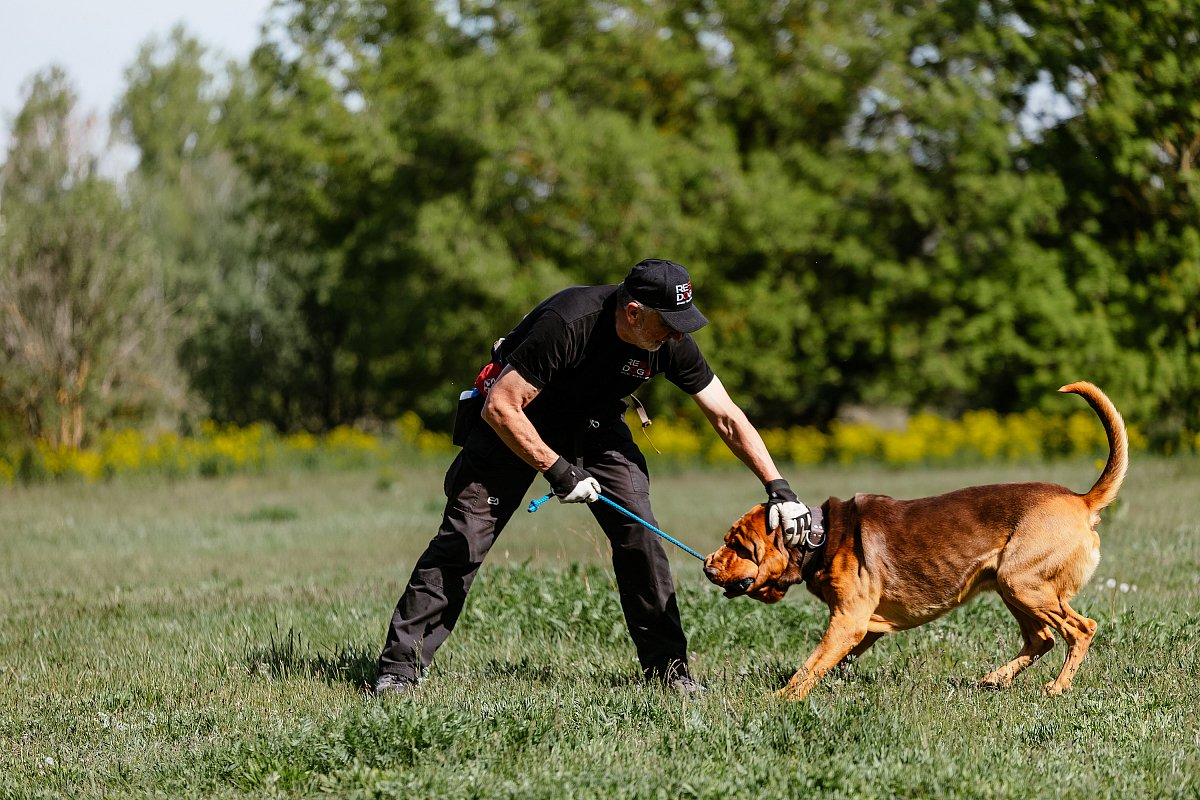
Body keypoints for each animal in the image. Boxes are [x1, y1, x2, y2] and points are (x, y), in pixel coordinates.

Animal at [700, 381, 1123, 700]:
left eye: (739, 546)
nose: (706, 566)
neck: (819, 538)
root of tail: (1082, 500)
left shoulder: (848, 622)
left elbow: (810, 665)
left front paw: (779, 699)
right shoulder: (863, 628)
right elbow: (830, 662)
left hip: (1021, 583)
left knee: (1081, 629)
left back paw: (1057, 687)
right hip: (1012, 588)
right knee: (1042, 639)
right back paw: (994, 679)